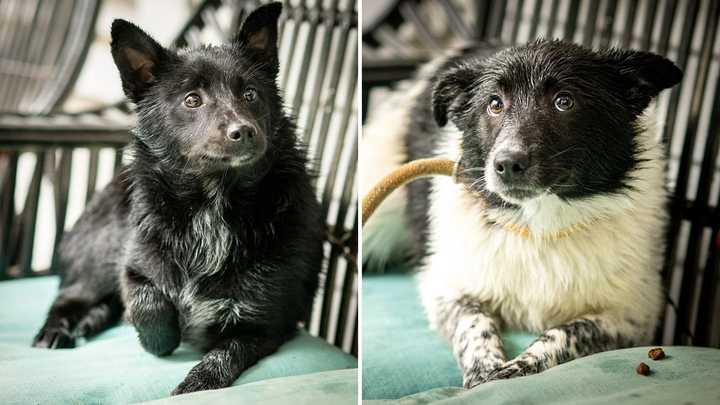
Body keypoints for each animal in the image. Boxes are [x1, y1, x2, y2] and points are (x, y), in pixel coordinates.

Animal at [35, 2, 322, 394]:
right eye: (192, 100)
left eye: (250, 94)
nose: (243, 131)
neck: (212, 204)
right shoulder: (133, 262)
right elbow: (145, 299)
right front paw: (161, 337)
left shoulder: (265, 325)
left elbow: (222, 356)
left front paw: (195, 384)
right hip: (99, 255)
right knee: (70, 297)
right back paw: (58, 328)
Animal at [362, 38, 684, 388]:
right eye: (494, 103)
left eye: (564, 101)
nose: (507, 164)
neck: (541, 225)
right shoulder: (446, 289)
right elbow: (474, 321)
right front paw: (484, 368)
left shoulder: (632, 315)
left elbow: (566, 332)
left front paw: (521, 365)